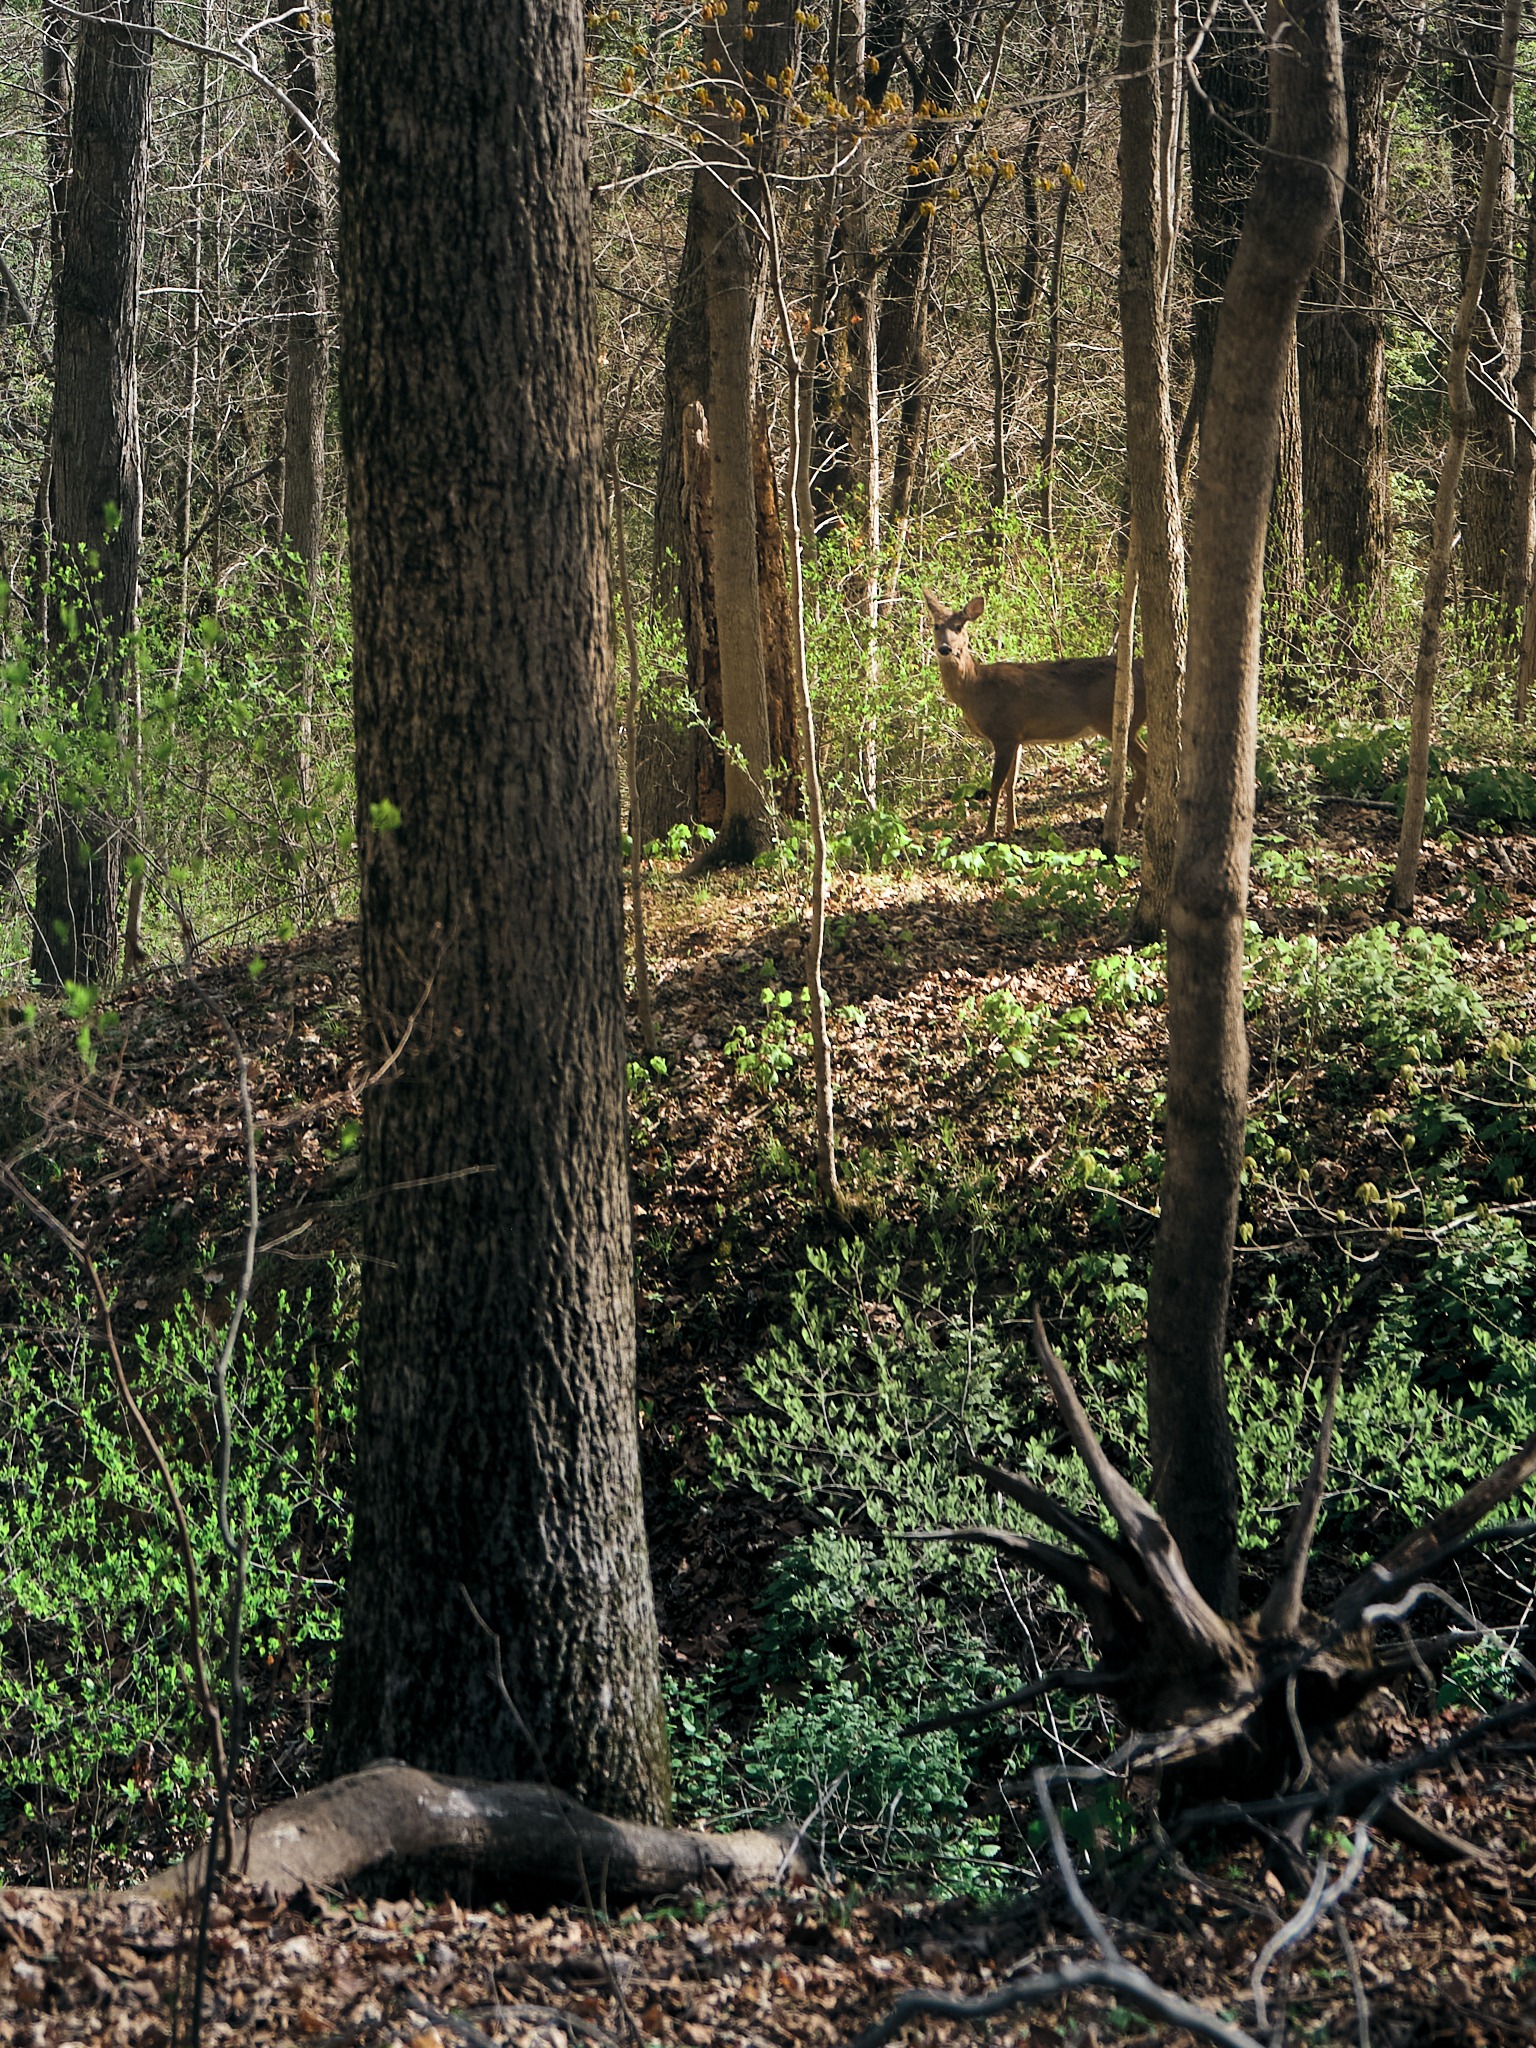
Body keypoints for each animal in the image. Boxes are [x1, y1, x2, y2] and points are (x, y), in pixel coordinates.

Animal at [922, 589, 1148, 839]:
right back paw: (1129, 816)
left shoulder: (1004, 733)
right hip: (1128, 724)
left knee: (1144, 761)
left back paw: (1130, 816)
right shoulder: (1018, 737)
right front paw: (1011, 826)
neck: (975, 688)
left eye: (959, 626)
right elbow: (1011, 782)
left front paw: (990, 831)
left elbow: (996, 782)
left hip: (1113, 719)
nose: (945, 649)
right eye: (936, 625)